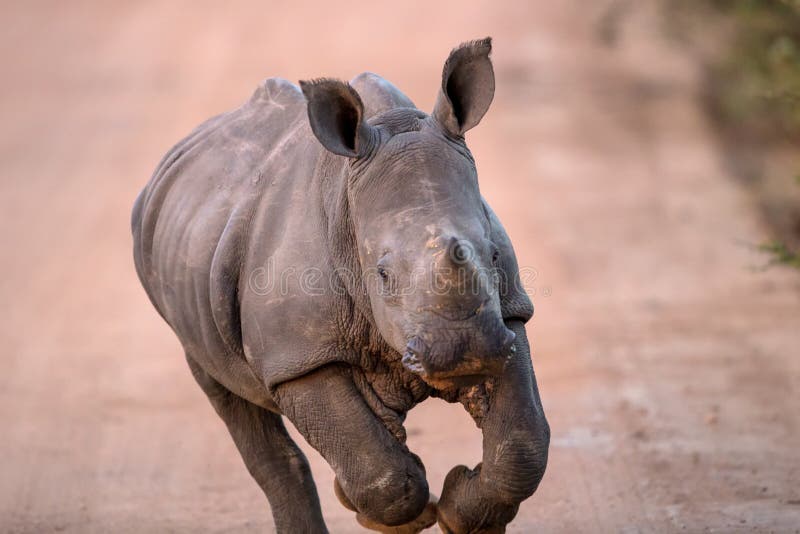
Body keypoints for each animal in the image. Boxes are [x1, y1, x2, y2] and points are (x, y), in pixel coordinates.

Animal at [133, 38, 552, 534]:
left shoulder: (507, 315)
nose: (464, 350)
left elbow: (522, 445)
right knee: (226, 393)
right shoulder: (298, 357)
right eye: (383, 274)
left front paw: (459, 512)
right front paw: (401, 513)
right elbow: (380, 474)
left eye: (493, 256)